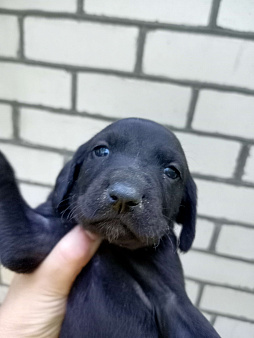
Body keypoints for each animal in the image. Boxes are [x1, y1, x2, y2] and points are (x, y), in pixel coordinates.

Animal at [0, 118, 218, 336]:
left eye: (172, 172)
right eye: (101, 151)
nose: (124, 197)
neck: (111, 244)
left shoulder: (174, 301)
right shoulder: (35, 236)